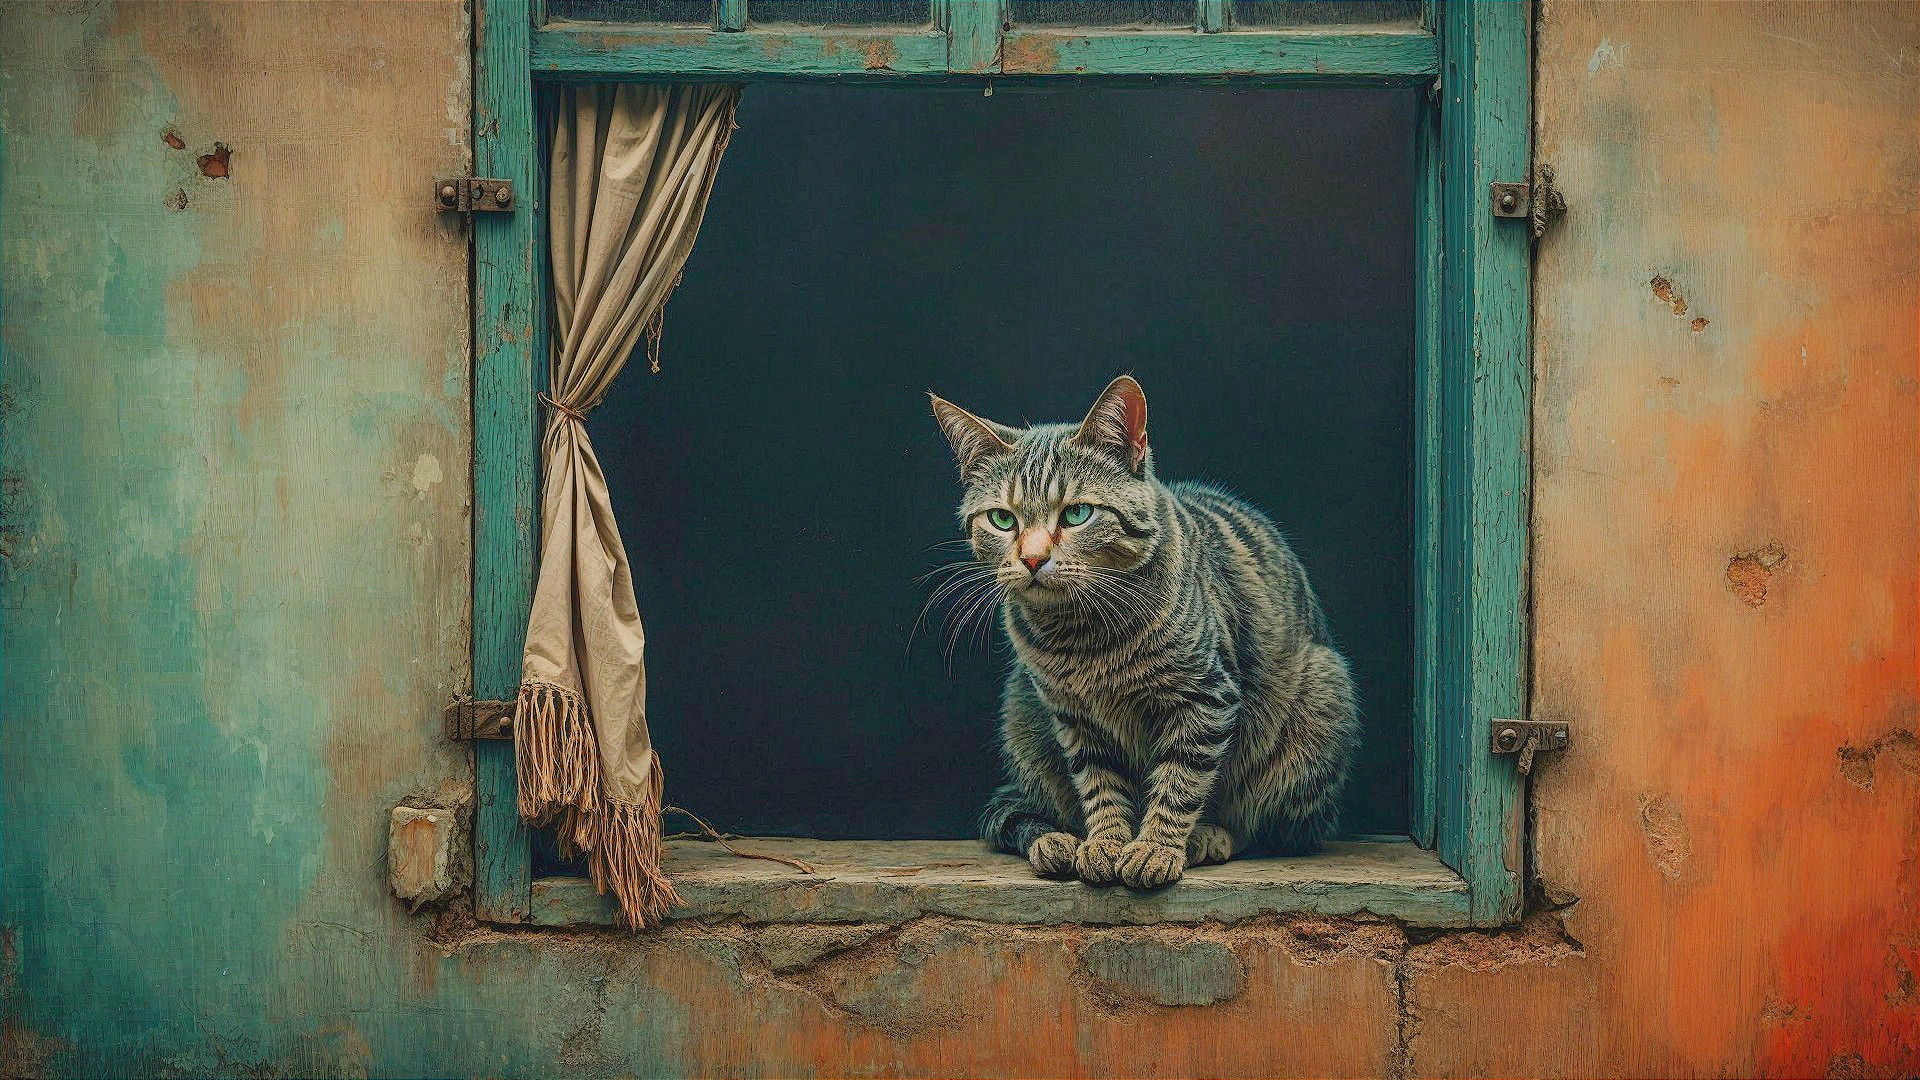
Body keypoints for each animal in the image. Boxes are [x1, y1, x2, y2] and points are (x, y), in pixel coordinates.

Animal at [933, 376, 1367, 883]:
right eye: (1003, 519)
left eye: (1076, 514)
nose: (1033, 558)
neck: (1083, 637)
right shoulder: (1074, 717)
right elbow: (1099, 783)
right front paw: (1105, 842)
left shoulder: (1204, 696)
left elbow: (1180, 778)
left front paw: (1155, 846)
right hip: (1021, 710)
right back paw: (1055, 840)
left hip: (1321, 701)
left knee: (1268, 827)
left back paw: (1206, 837)